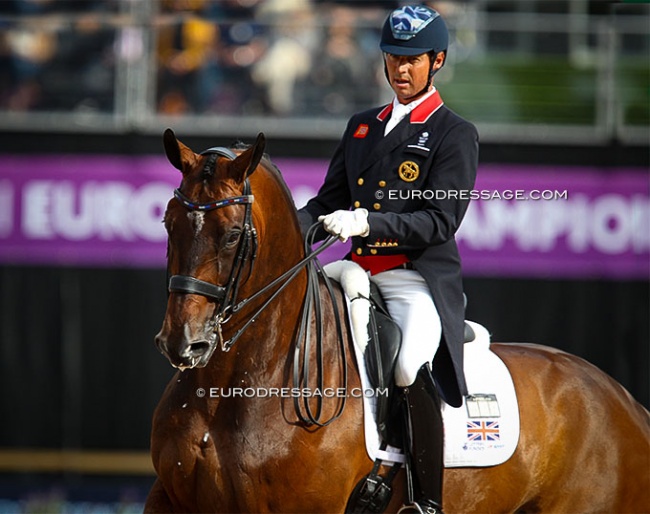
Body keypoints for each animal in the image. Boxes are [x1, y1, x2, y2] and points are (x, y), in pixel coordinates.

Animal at [146, 128, 648, 512]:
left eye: (233, 235)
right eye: (168, 223)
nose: (183, 343)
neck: (232, 386)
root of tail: (623, 400)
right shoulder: (169, 500)